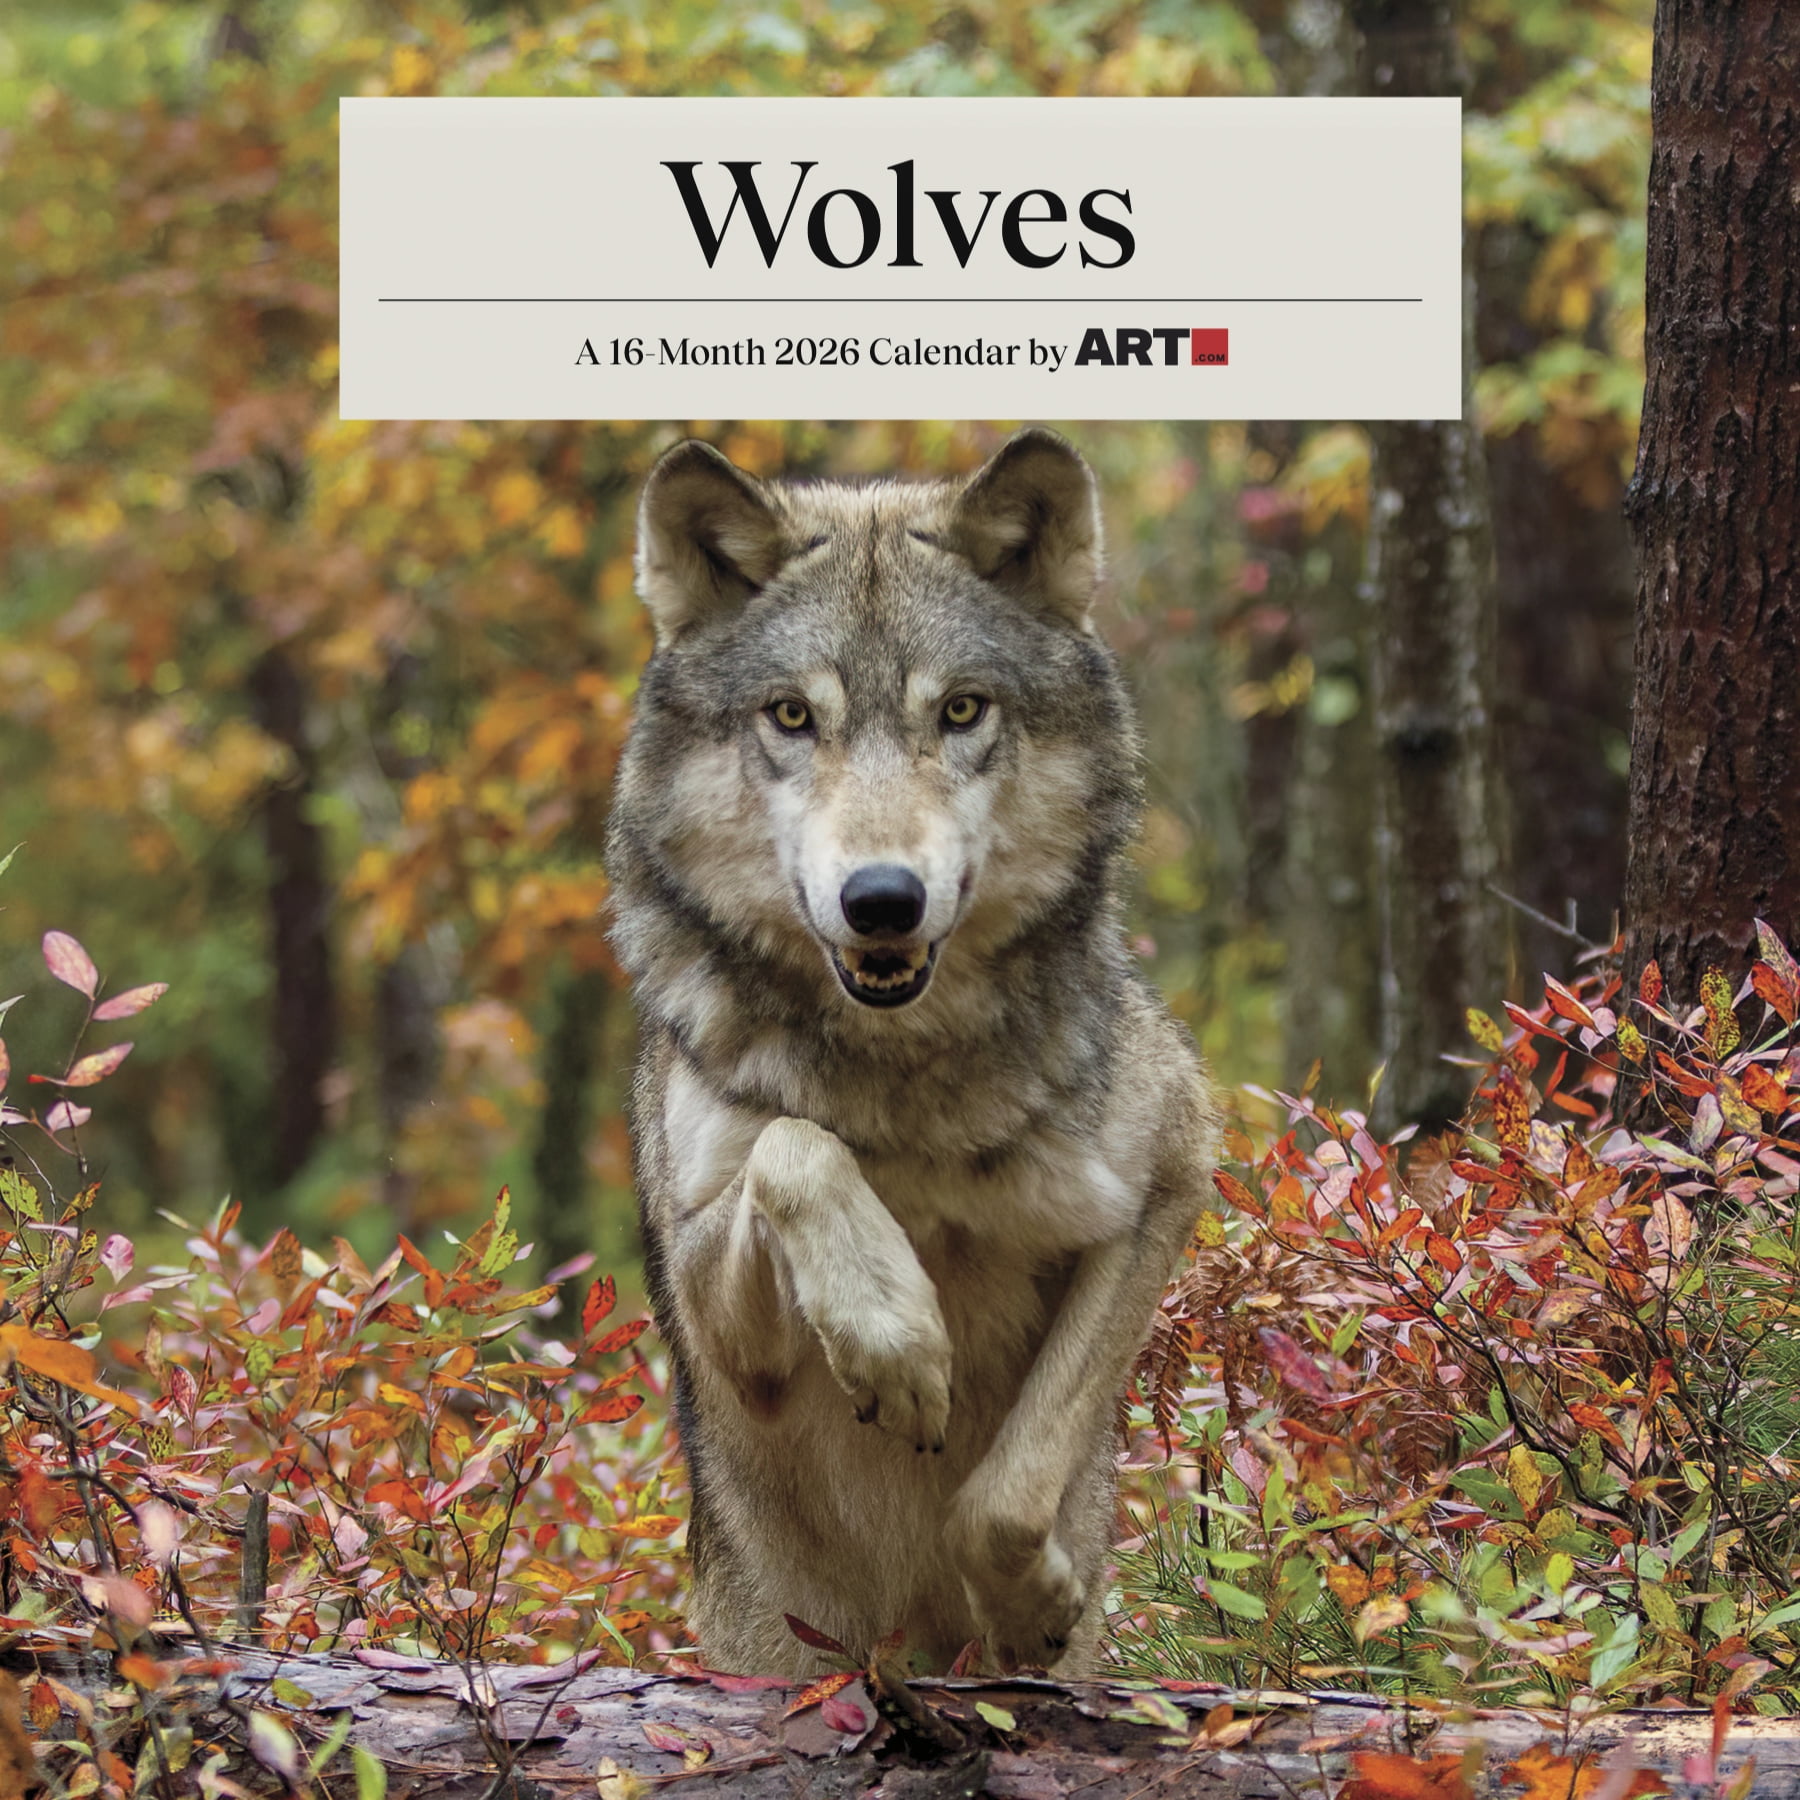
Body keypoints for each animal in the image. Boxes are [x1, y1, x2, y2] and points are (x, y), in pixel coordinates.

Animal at [606, 427, 1221, 1677]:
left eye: (963, 710)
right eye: (793, 716)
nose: (882, 899)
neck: (905, 1077)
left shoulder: (1168, 1177)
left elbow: (1005, 1498)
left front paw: (1029, 1604)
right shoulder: (721, 1325)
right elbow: (794, 1148)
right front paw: (896, 1341)